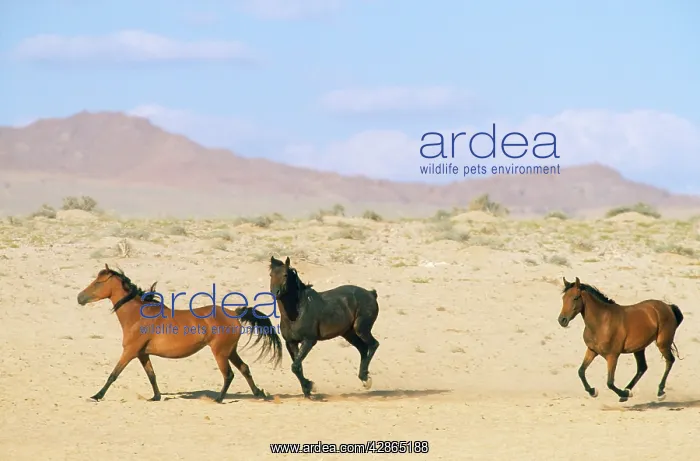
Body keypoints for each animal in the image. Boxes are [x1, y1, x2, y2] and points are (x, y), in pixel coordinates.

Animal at [77, 264, 282, 403]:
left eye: (98, 282)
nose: (80, 298)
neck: (137, 315)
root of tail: (234, 313)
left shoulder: (130, 351)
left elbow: (113, 374)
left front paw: (96, 395)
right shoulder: (142, 354)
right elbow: (151, 375)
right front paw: (156, 397)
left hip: (221, 352)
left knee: (229, 374)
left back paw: (219, 399)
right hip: (231, 351)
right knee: (244, 368)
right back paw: (258, 393)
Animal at [268, 256, 380, 398]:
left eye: (285, 275)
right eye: (271, 275)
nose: (275, 292)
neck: (297, 312)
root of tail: (371, 294)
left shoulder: (309, 341)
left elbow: (295, 366)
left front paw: (310, 386)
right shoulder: (291, 343)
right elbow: (297, 366)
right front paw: (307, 389)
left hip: (361, 329)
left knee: (373, 345)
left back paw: (366, 378)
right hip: (348, 333)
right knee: (363, 349)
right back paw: (364, 378)